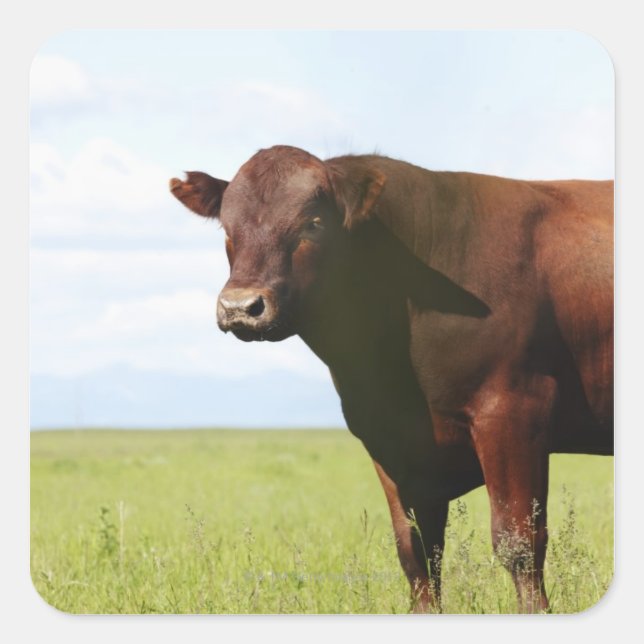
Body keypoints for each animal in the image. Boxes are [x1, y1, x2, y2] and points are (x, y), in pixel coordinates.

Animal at [169, 145, 613, 613]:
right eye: (228, 226)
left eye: (314, 222)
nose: (241, 306)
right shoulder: (388, 439)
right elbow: (416, 551)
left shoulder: (513, 412)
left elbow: (519, 543)